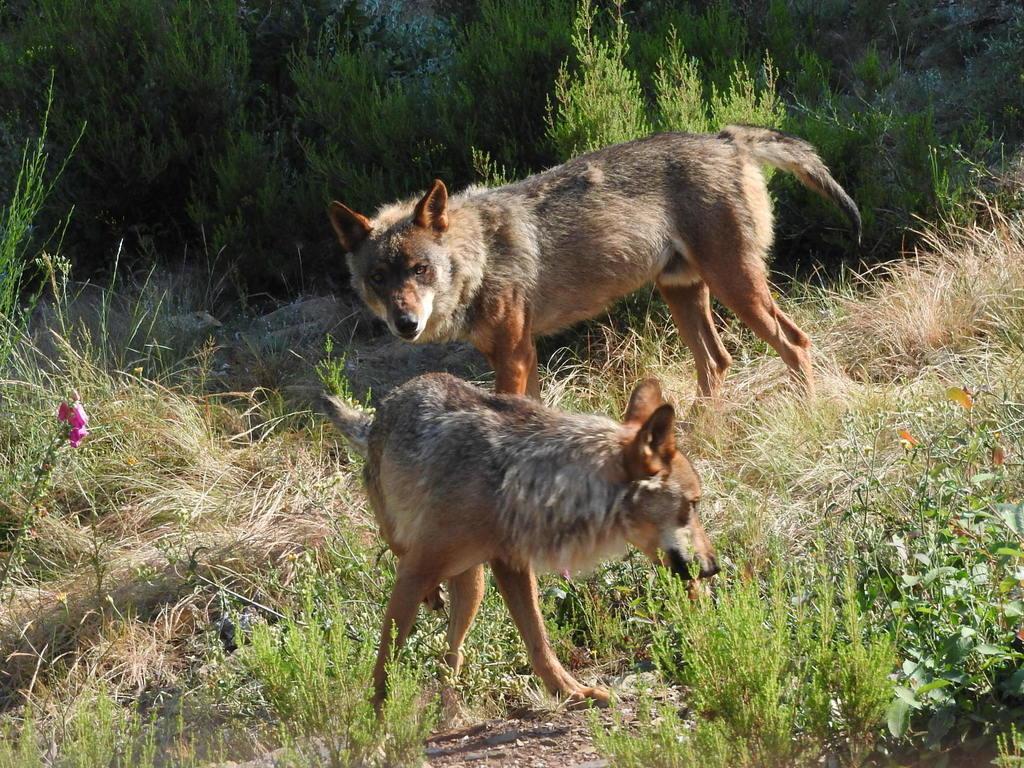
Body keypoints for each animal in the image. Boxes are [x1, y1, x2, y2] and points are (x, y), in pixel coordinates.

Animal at [319, 373, 718, 707]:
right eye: (693, 504)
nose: (713, 568)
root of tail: (382, 409)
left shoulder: (511, 566)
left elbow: (539, 642)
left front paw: (572, 693)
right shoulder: (415, 572)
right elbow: (386, 663)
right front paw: (377, 728)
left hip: (474, 586)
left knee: (451, 655)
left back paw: (450, 707)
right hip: (416, 551)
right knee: (408, 567)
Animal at [328, 126, 860, 399]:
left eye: (421, 270)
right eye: (378, 278)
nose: (405, 324)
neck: (479, 256)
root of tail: (726, 138)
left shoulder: (515, 355)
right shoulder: (515, 356)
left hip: (738, 290)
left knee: (796, 344)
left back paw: (806, 413)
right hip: (682, 292)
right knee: (716, 361)